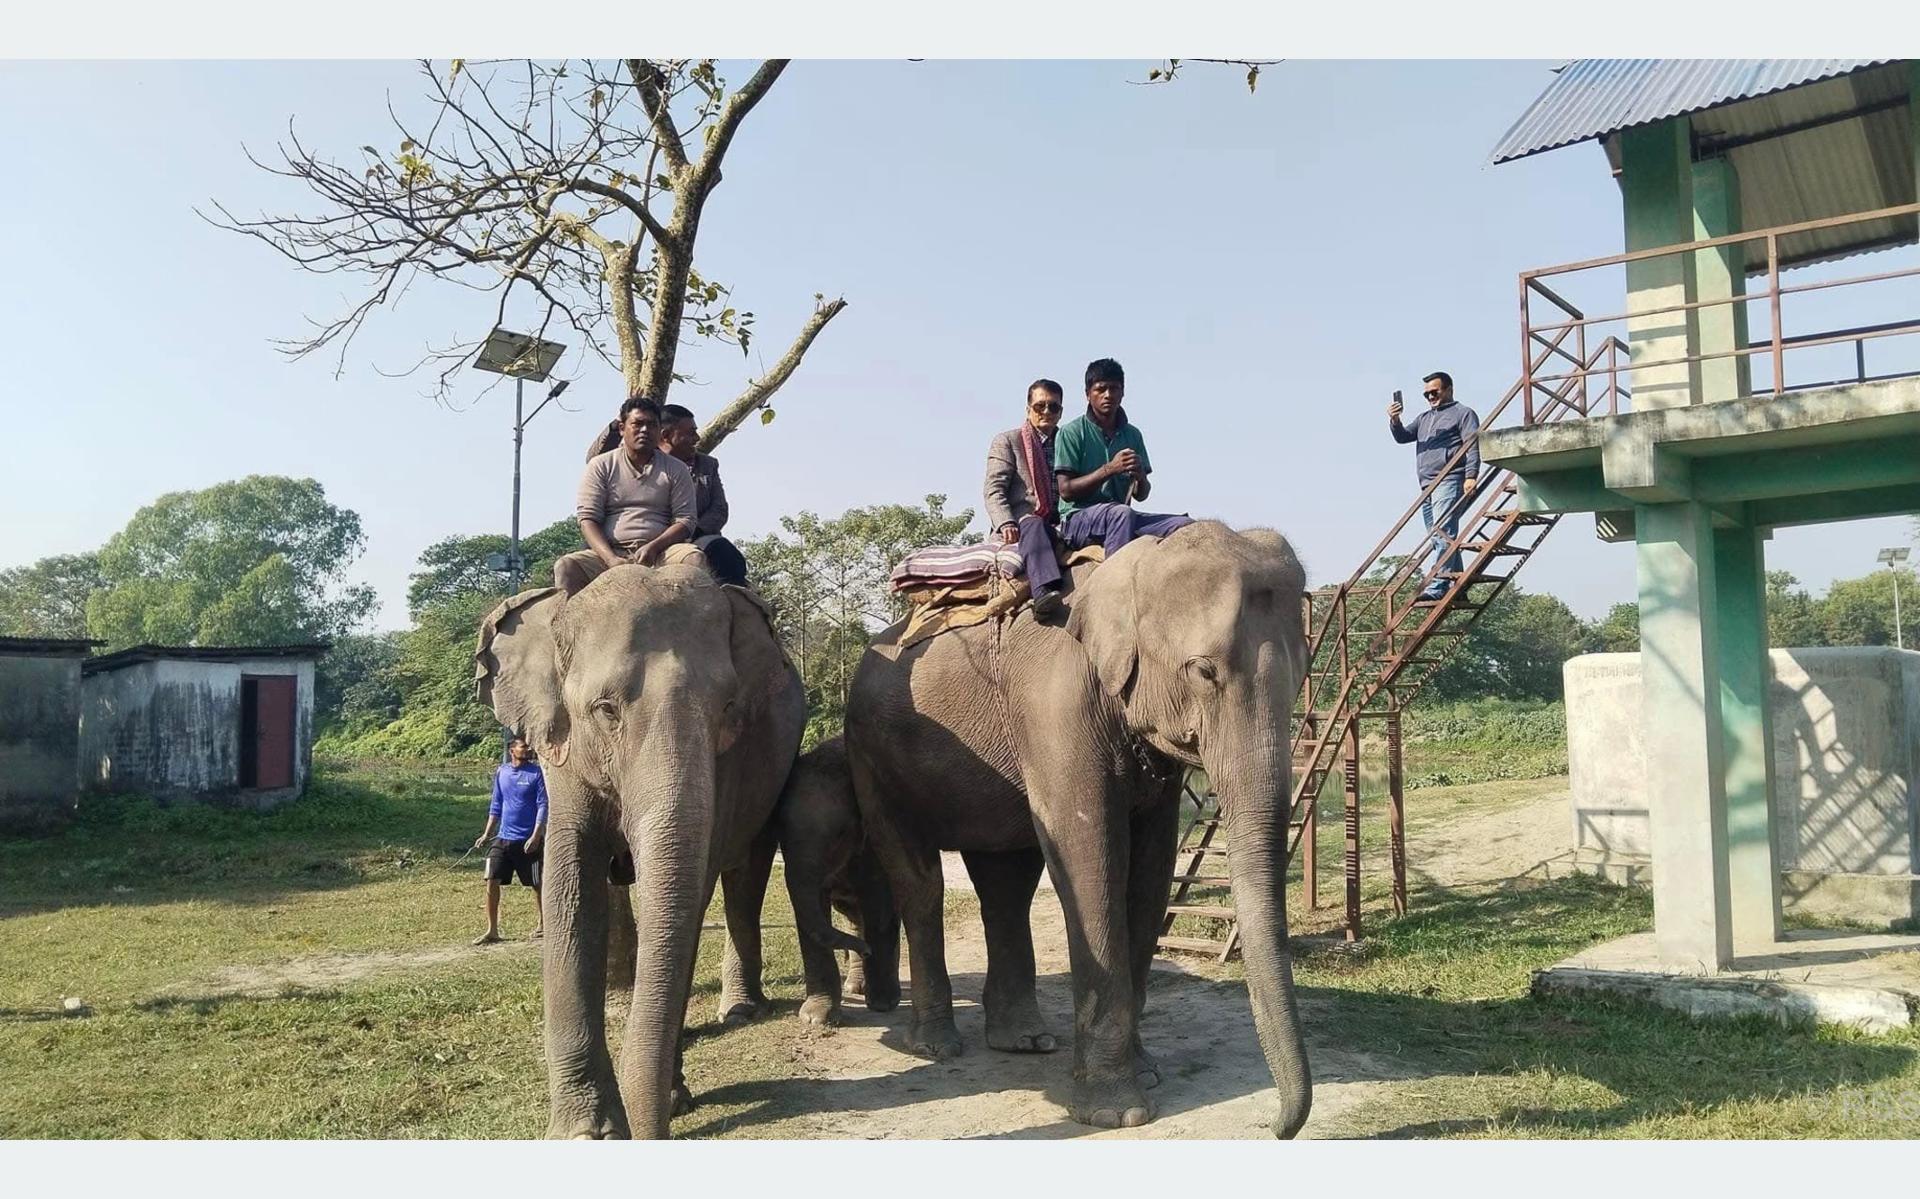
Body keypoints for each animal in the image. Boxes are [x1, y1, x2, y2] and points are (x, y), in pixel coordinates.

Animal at [487, 557, 810, 1137]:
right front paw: (585, 1134)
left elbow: (692, 892)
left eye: (728, 708)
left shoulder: (729, 763)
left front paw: (675, 1098)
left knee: (744, 875)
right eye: (605, 710)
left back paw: (739, 1010)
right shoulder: (561, 760)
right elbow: (571, 889)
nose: (652, 1132)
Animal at [775, 734, 902, 1022]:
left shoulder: (876, 844)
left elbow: (880, 904)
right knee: (853, 916)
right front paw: (815, 1018)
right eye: (780, 833)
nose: (865, 949)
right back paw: (855, 985)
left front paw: (883, 1004)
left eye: (841, 832)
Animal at [848, 518, 1313, 1137]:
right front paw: (1120, 1111)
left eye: (1302, 674)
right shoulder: (1055, 702)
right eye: (1203, 671)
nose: (1277, 1127)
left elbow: (1152, 868)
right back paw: (937, 1047)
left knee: (1006, 882)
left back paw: (1023, 1041)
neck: (1133, 564)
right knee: (920, 882)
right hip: (871, 757)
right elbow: (1086, 851)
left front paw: (1148, 1075)